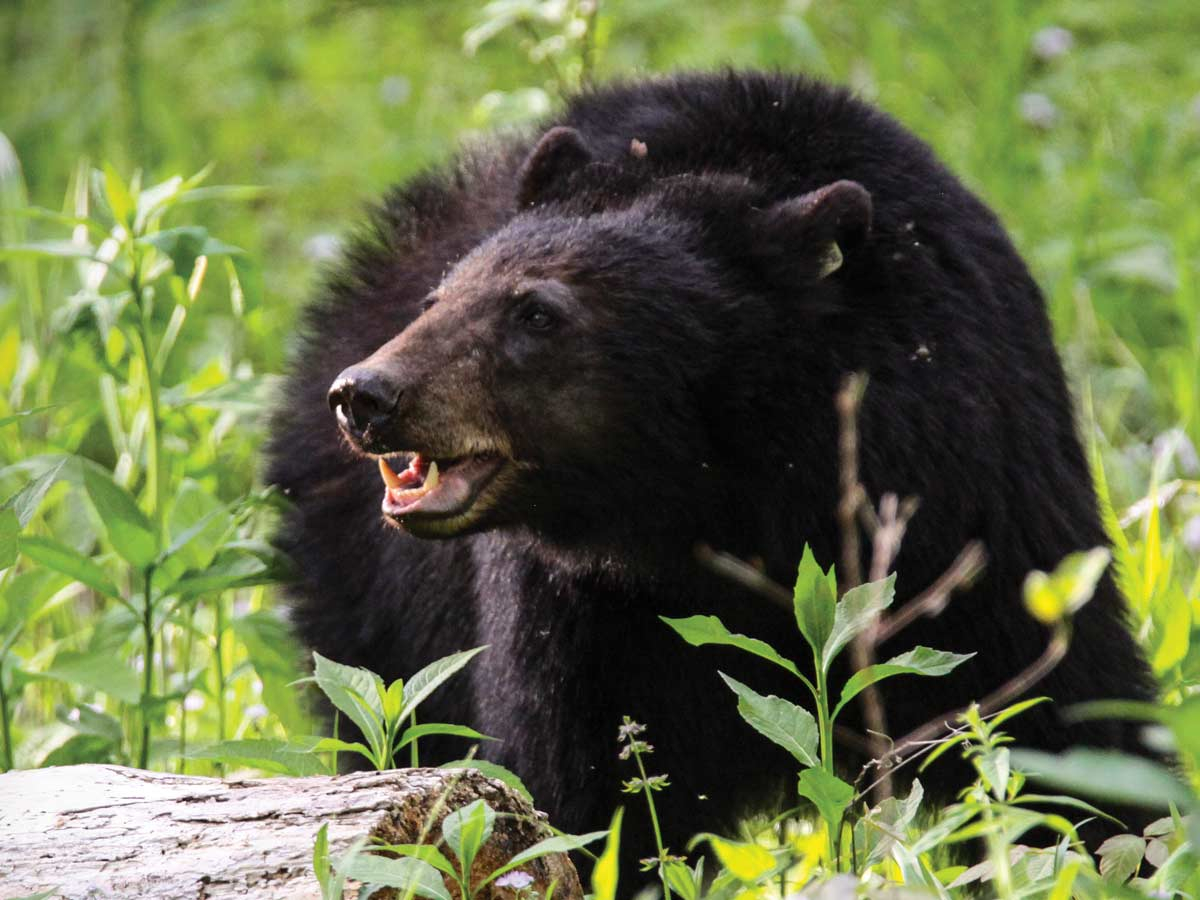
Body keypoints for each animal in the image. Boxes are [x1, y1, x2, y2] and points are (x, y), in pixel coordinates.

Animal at [267, 70, 1156, 859]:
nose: (367, 395)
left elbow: (1061, 719)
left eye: (537, 311)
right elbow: (579, 785)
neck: (721, 503)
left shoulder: (969, 506)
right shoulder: (582, 613)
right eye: (442, 297)